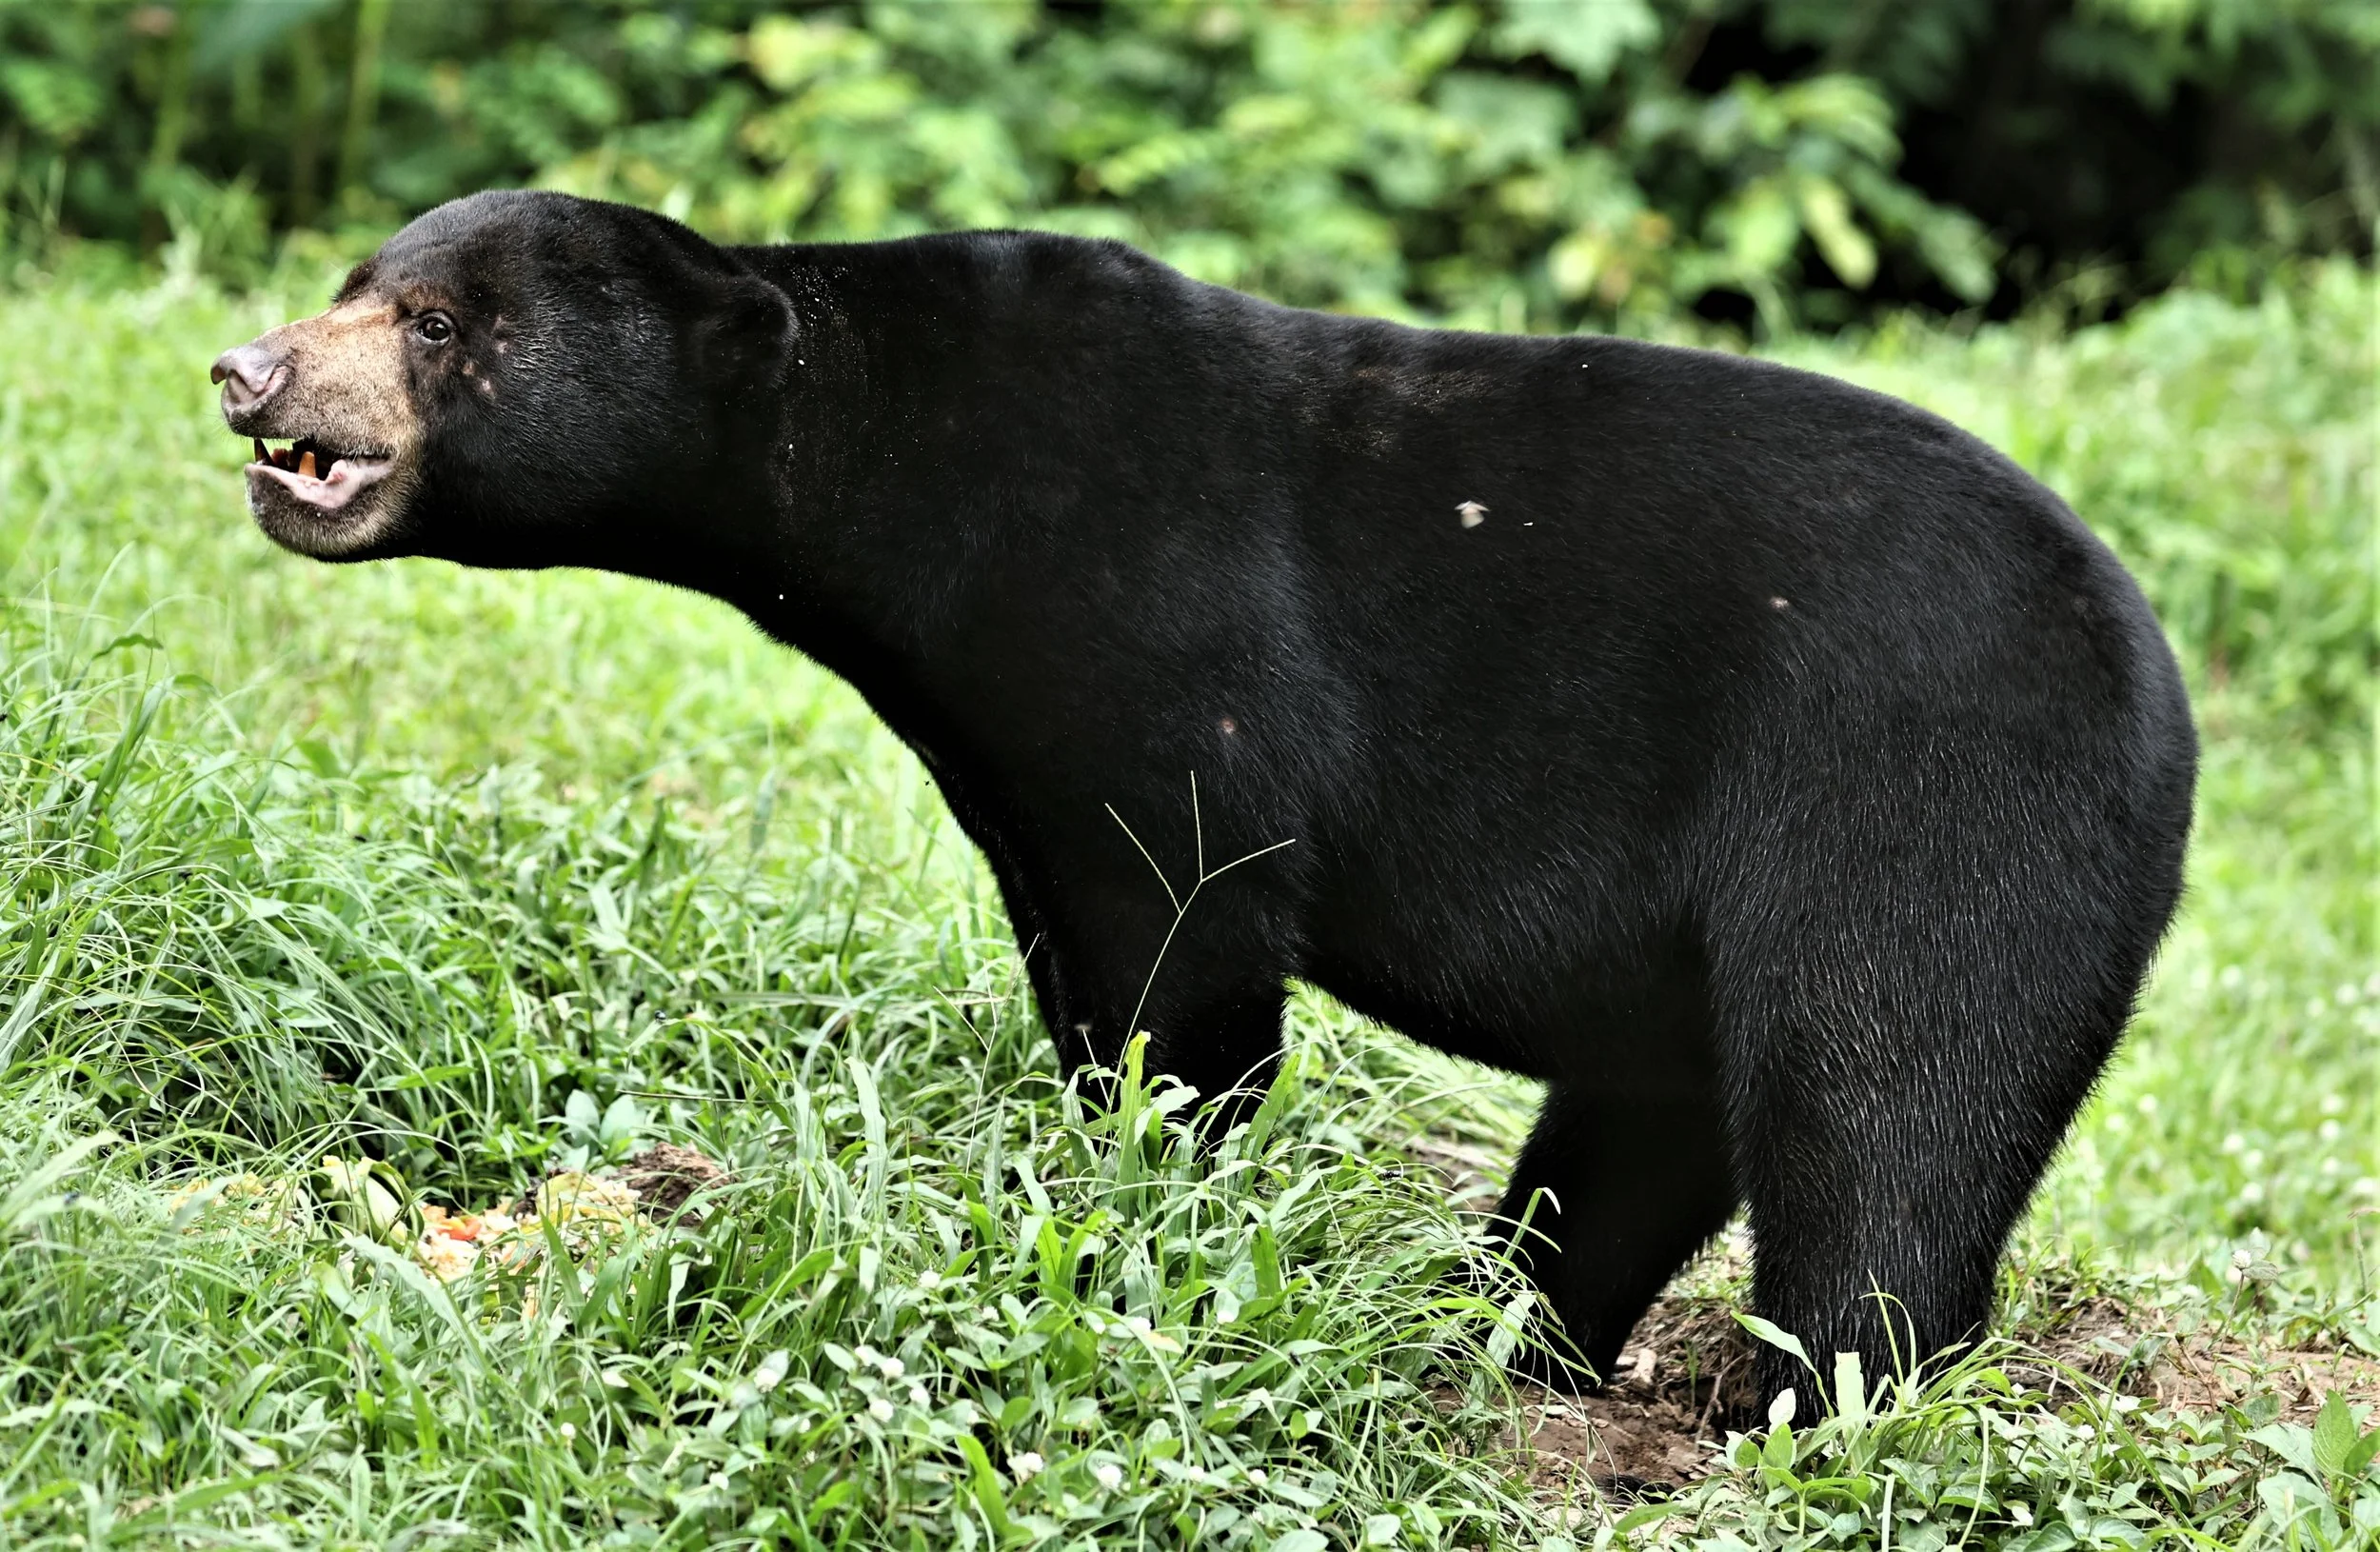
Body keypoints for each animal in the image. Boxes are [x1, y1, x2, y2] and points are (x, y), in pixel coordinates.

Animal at [211, 190, 2196, 1408]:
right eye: (361, 280)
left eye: (437, 323)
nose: (247, 372)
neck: (895, 472)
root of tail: (2165, 705)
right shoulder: (1006, 755)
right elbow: (1080, 953)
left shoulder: (1156, 630)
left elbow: (1192, 940)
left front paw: (1155, 1214)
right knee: (1648, 1131)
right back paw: (1508, 1352)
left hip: (1928, 811)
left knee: (1885, 1116)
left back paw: (1807, 1410)